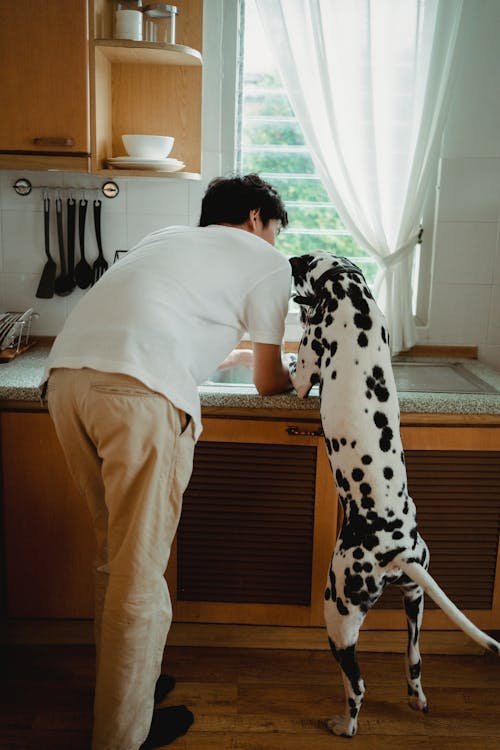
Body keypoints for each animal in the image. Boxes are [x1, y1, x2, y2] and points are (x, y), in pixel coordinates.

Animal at [288, 251, 498, 740]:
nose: (287, 267)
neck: (347, 287)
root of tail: (397, 549)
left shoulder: (306, 366)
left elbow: (296, 372)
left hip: (339, 613)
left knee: (357, 684)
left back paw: (343, 724)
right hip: (415, 601)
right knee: (414, 660)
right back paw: (416, 697)